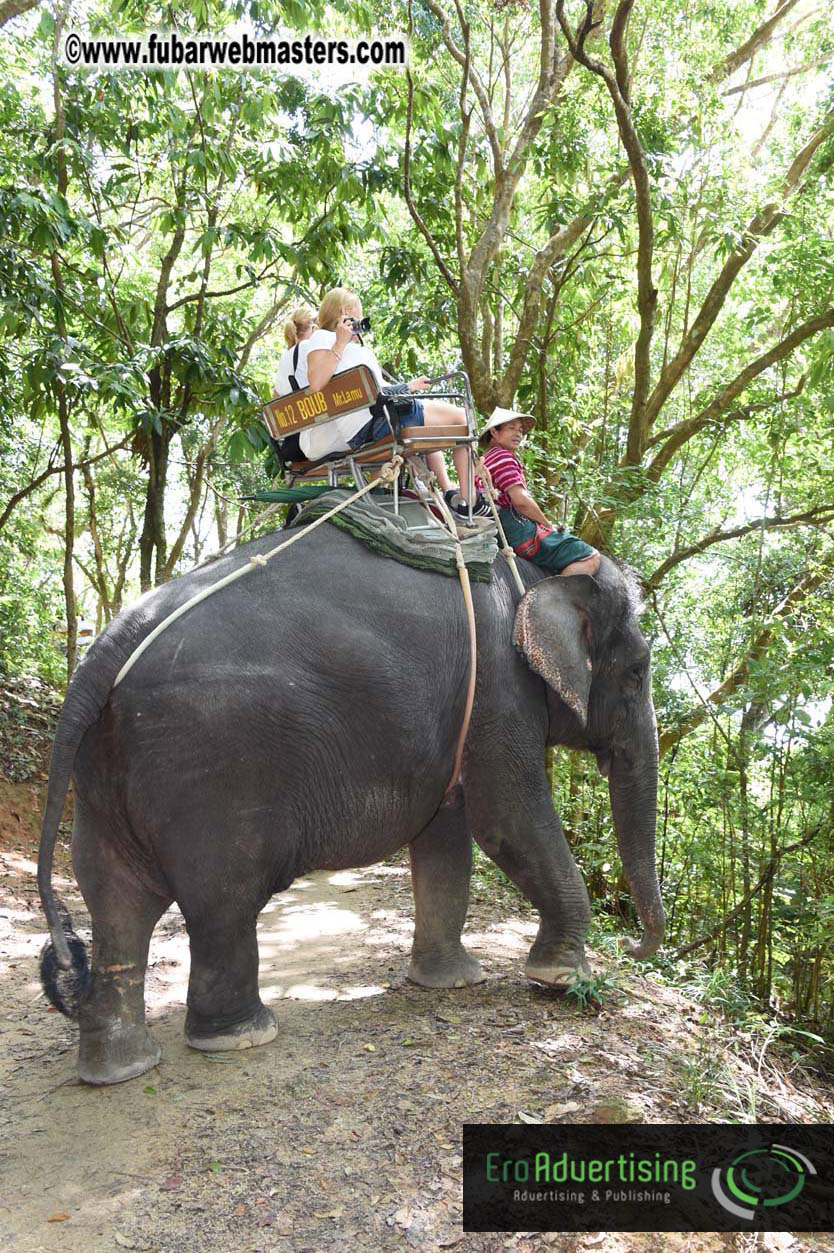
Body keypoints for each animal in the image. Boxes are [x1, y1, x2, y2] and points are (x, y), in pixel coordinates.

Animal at [38, 523, 664, 1085]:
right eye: (637, 673)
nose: (633, 945)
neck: (534, 575)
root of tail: (105, 652)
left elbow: (445, 836)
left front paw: (453, 983)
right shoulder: (499, 690)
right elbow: (506, 816)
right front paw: (562, 979)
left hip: (101, 779)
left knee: (115, 903)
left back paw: (118, 1068)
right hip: (209, 769)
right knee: (223, 901)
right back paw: (242, 1036)